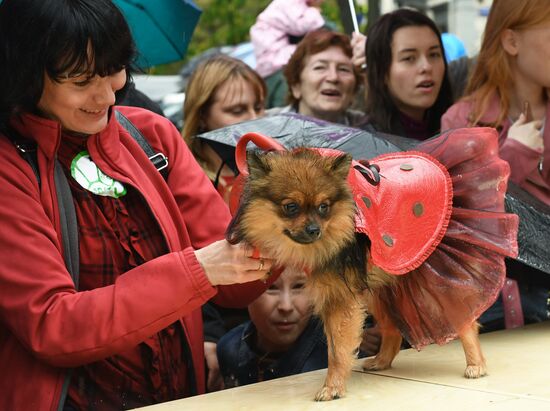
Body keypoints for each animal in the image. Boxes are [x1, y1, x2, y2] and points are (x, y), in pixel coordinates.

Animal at [227, 146, 508, 402]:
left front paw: (333, 388)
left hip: (434, 281)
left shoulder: (340, 300)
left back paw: (476, 364)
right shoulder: (337, 296)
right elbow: (337, 348)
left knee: (464, 319)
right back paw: (382, 361)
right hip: (380, 292)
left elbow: (338, 352)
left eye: (323, 207)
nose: (314, 230)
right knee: (393, 329)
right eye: (291, 207)